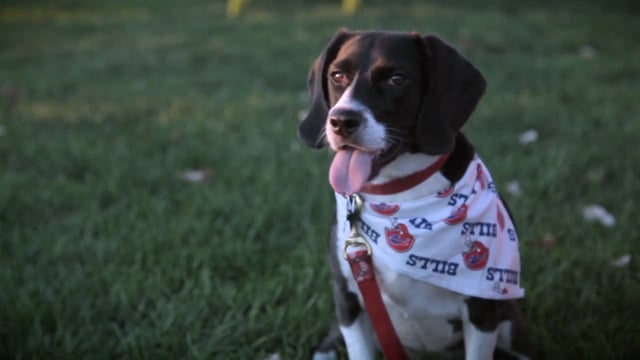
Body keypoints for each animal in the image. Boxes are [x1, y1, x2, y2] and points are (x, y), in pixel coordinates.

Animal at [298, 28, 532, 360]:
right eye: (337, 75)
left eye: (397, 79)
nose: (341, 120)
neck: (398, 196)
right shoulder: (348, 300)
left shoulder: (482, 311)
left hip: (510, 322)